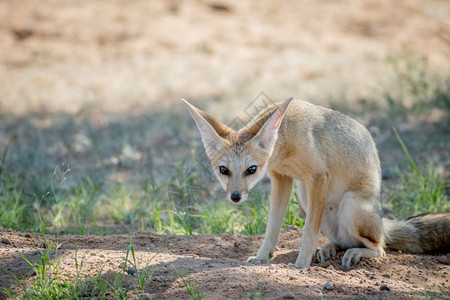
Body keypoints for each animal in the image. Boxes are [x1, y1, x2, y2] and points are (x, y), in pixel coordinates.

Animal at [182, 97, 450, 268]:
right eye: (223, 170)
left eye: (251, 170)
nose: (235, 197)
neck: (285, 139)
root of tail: (382, 220)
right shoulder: (282, 178)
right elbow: (272, 228)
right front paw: (262, 258)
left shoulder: (318, 177)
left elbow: (308, 233)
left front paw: (300, 265)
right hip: (303, 198)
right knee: (342, 240)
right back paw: (330, 248)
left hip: (350, 205)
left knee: (379, 247)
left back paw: (357, 252)